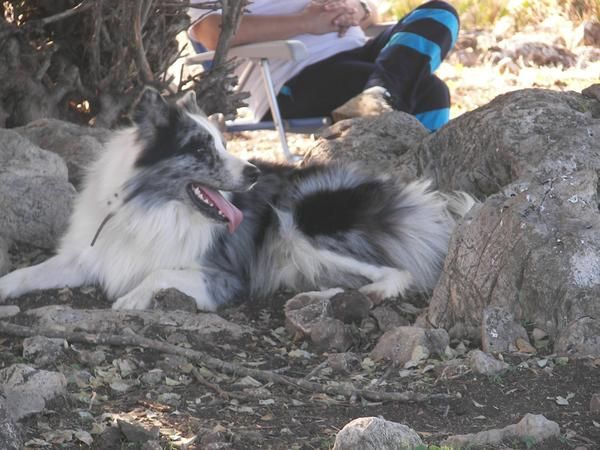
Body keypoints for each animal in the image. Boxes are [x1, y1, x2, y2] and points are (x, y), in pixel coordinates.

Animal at [0, 89, 474, 310]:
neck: (149, 207)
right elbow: (26, 273)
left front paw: (133, 298)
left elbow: (157, 274)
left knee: (397, 272)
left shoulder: (222, 277)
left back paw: (352, 294)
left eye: (223, 143)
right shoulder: (85, 256)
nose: (253, 173)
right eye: (199, 148)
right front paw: (5, 286)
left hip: (300, 221)